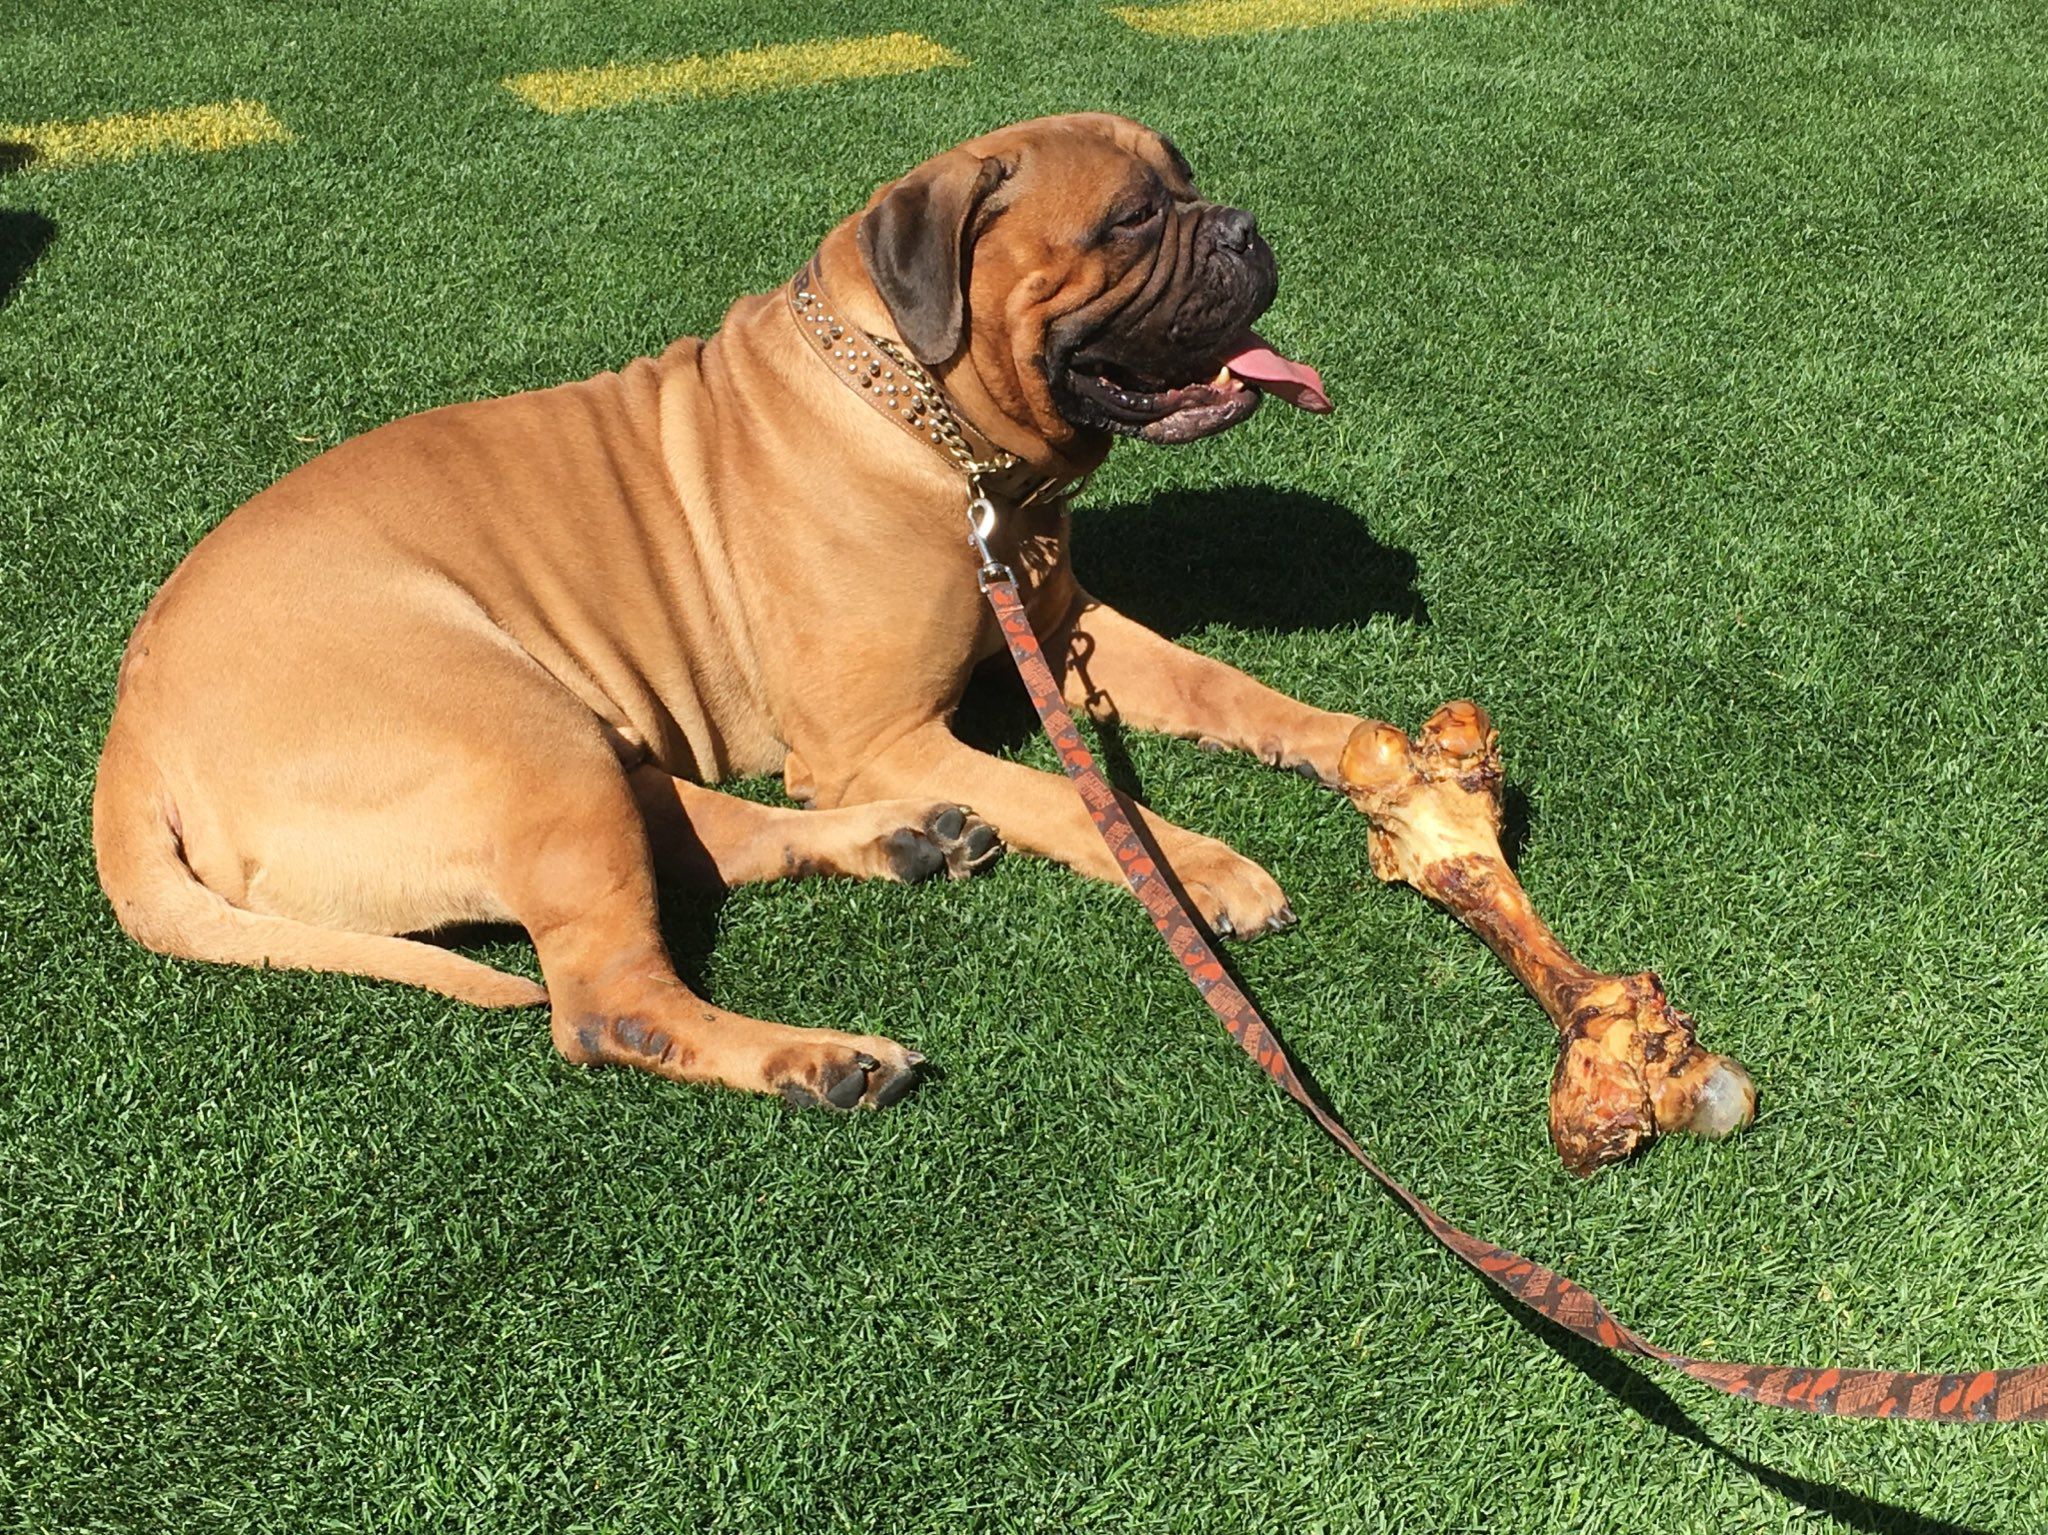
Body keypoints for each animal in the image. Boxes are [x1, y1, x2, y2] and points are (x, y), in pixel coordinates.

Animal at [103, 114, 1368, 1113]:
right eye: (1131, 220)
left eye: (1186, 185)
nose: (1244, 228)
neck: (934, 431)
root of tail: (132, 738)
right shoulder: (878, 736)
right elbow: (1087, 803)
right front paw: (1204, 868)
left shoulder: (1059, 627)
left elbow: (1221, 684)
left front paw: (1353, 747)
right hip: (516, 726)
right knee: (605, 1004)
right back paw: (820, 1055)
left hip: (574, 746)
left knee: (710, 837)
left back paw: (908, 838)